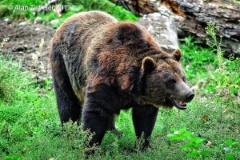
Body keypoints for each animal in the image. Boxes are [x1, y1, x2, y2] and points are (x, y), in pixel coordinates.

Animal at [49, 10, 194, 149]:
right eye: (171, 81)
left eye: (183, 77)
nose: (189, 94)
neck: (127, 84)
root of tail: (70, 18)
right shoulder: (104, 78)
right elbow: (96, 112)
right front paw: (89, 146)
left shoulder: (144, 98)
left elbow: (145, 119)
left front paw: (144, 145)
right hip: (62, 63)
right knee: (67, 101)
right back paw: (70, 131)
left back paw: (115, 131)